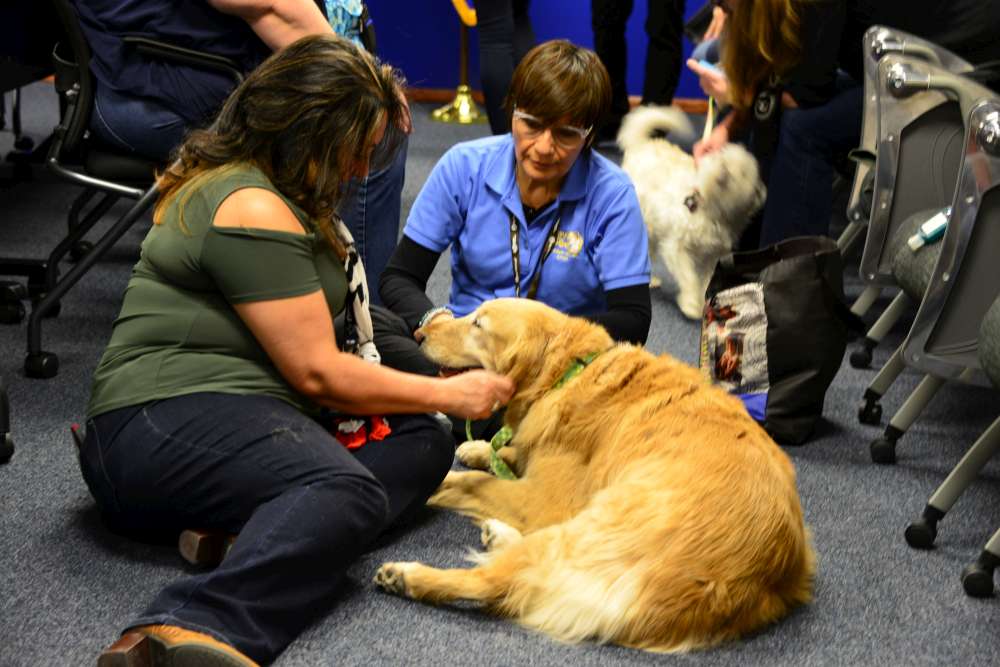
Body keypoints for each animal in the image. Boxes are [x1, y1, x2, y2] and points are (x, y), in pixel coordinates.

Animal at [616, 105, 764, 320]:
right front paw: (691, 304)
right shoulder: (677, 249)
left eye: (745, 172)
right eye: (720, 156)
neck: (708, 208)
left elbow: (705, 281)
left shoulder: (712, 257)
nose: (723, 169)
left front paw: (702, 302)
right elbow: (689, 278)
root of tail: (642, 144)